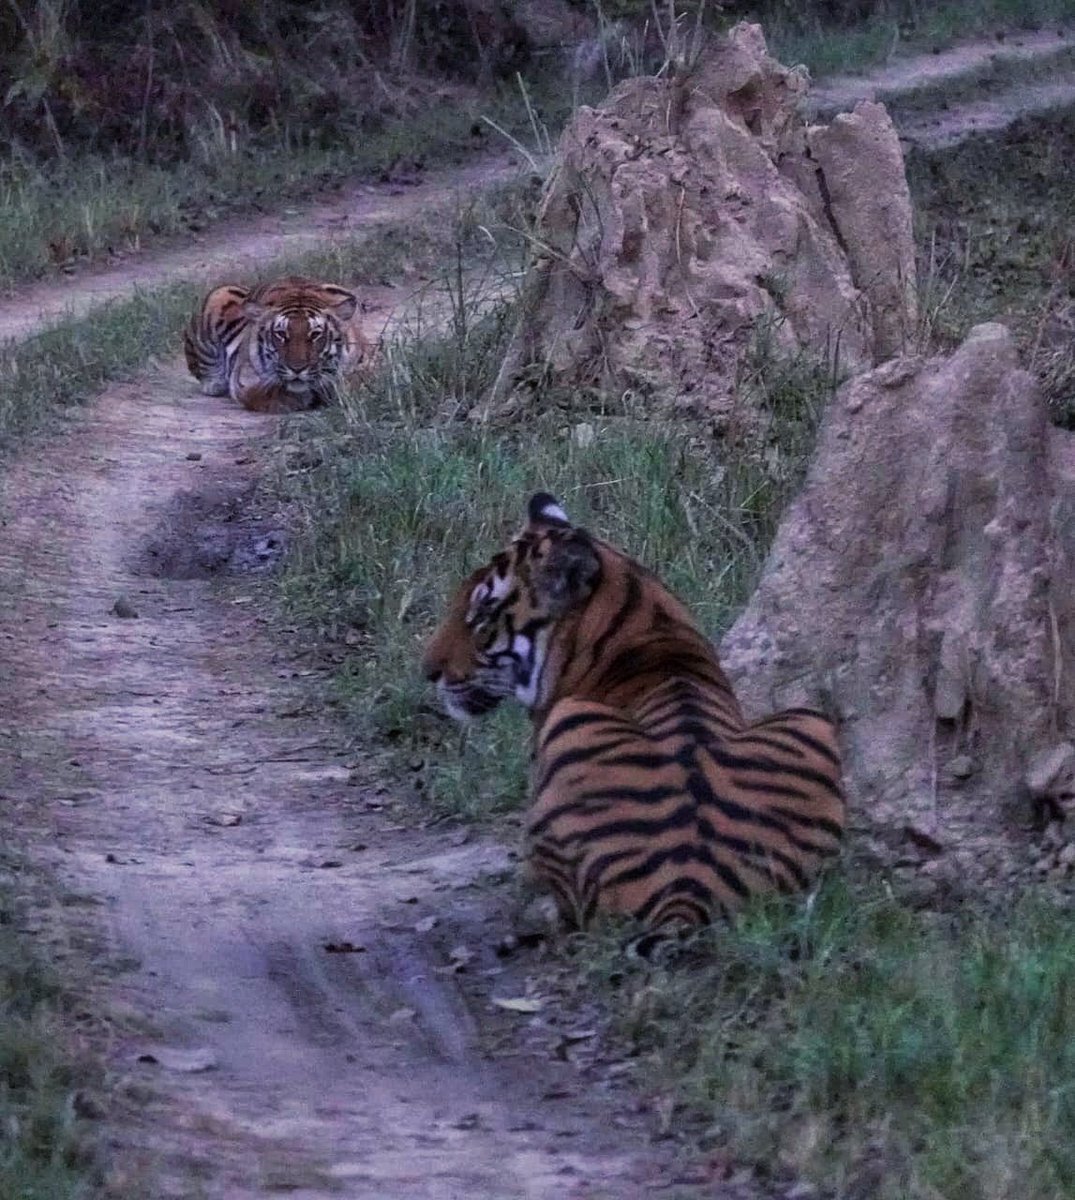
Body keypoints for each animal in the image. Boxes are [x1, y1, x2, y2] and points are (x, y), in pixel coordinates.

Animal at [182, 274, 371, 415]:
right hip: (219, 295)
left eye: (315, 334)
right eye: (281, 334)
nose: (297, 369)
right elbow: (271, 391)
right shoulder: (243, 380)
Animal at [422, 492, 849, 931]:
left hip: (572, 719)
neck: (640, 611)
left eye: (482, 618)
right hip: (810, 720)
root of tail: (687, 891)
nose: (427, 671)